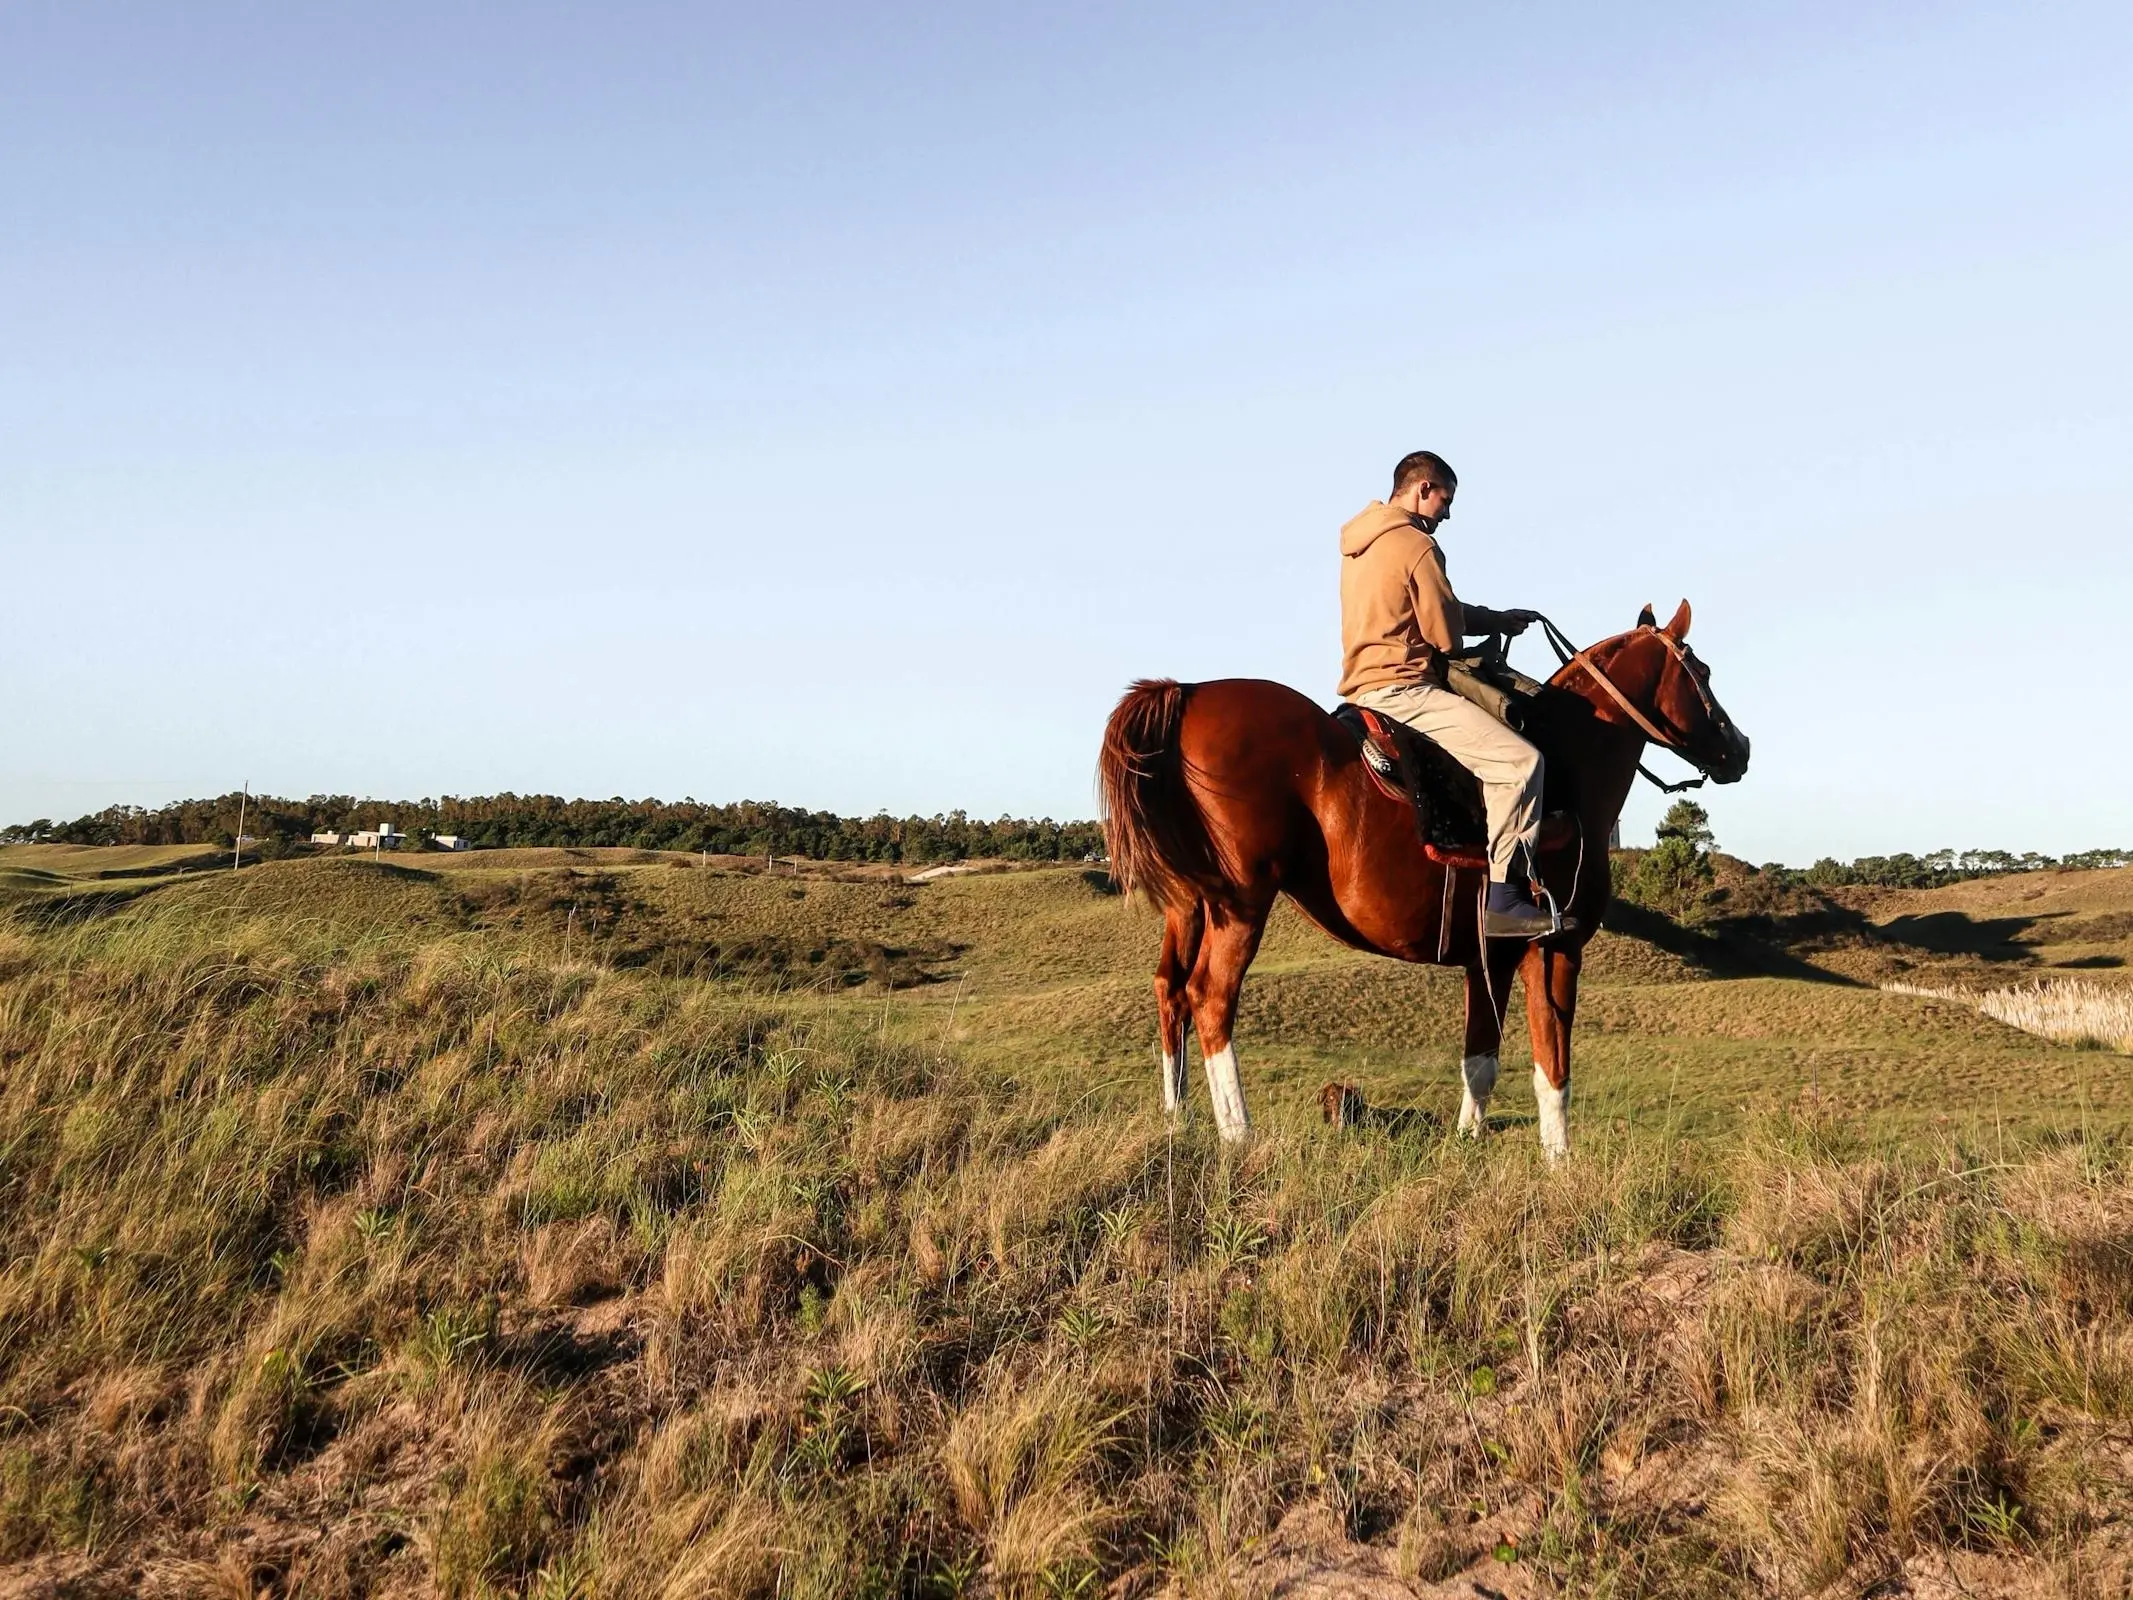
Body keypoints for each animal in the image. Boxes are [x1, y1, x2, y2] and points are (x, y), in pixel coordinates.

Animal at [1096, 601, 1750, 1159]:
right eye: (1701, 671)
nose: (1739, 749)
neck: (1566, 772)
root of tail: (1189, 694)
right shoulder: (1554, 947)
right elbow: (1553, 1065)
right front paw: (1559, 1162)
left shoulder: (1492, 958)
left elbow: (1481, 1059)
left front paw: (1468, 1145)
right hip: (1241, 904)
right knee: (1211, 997)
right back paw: (1239, 1133)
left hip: (1190, 906)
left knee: (1171, 991)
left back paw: (1178, 1121)